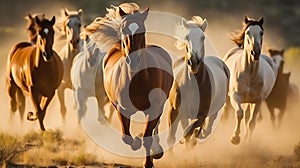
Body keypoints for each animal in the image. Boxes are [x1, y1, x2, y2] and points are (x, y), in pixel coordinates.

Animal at [102, 6, 173, 168]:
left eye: (142, 30)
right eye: (123, 30)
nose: (133, 60)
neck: (138, 80)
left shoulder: (154, 108)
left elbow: (148, 136)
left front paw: (148, 161)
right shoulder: (122, 109)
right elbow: (126, 137)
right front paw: (137, 141)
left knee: (155, 127)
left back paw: (157, 150)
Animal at [166, 16, 230, 148]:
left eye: (203, 37)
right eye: (186, 37)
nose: (194, 61)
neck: (192, 85)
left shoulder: (201, 115)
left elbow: (189, 132)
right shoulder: (174, 111)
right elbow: (171, 138)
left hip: (213, 111)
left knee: (206, 128)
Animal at [223, 16, 284, 144]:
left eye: (261, 32)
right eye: (247, 32)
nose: (255, 53)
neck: (249, 73)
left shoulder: (258, 101)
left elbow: (251, 123)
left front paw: (247, 142)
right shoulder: (235, 97)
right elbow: (239, 113)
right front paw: (235, 138)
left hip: (250, 102)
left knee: (247, 118)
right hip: (228, 98)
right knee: (226, 115)